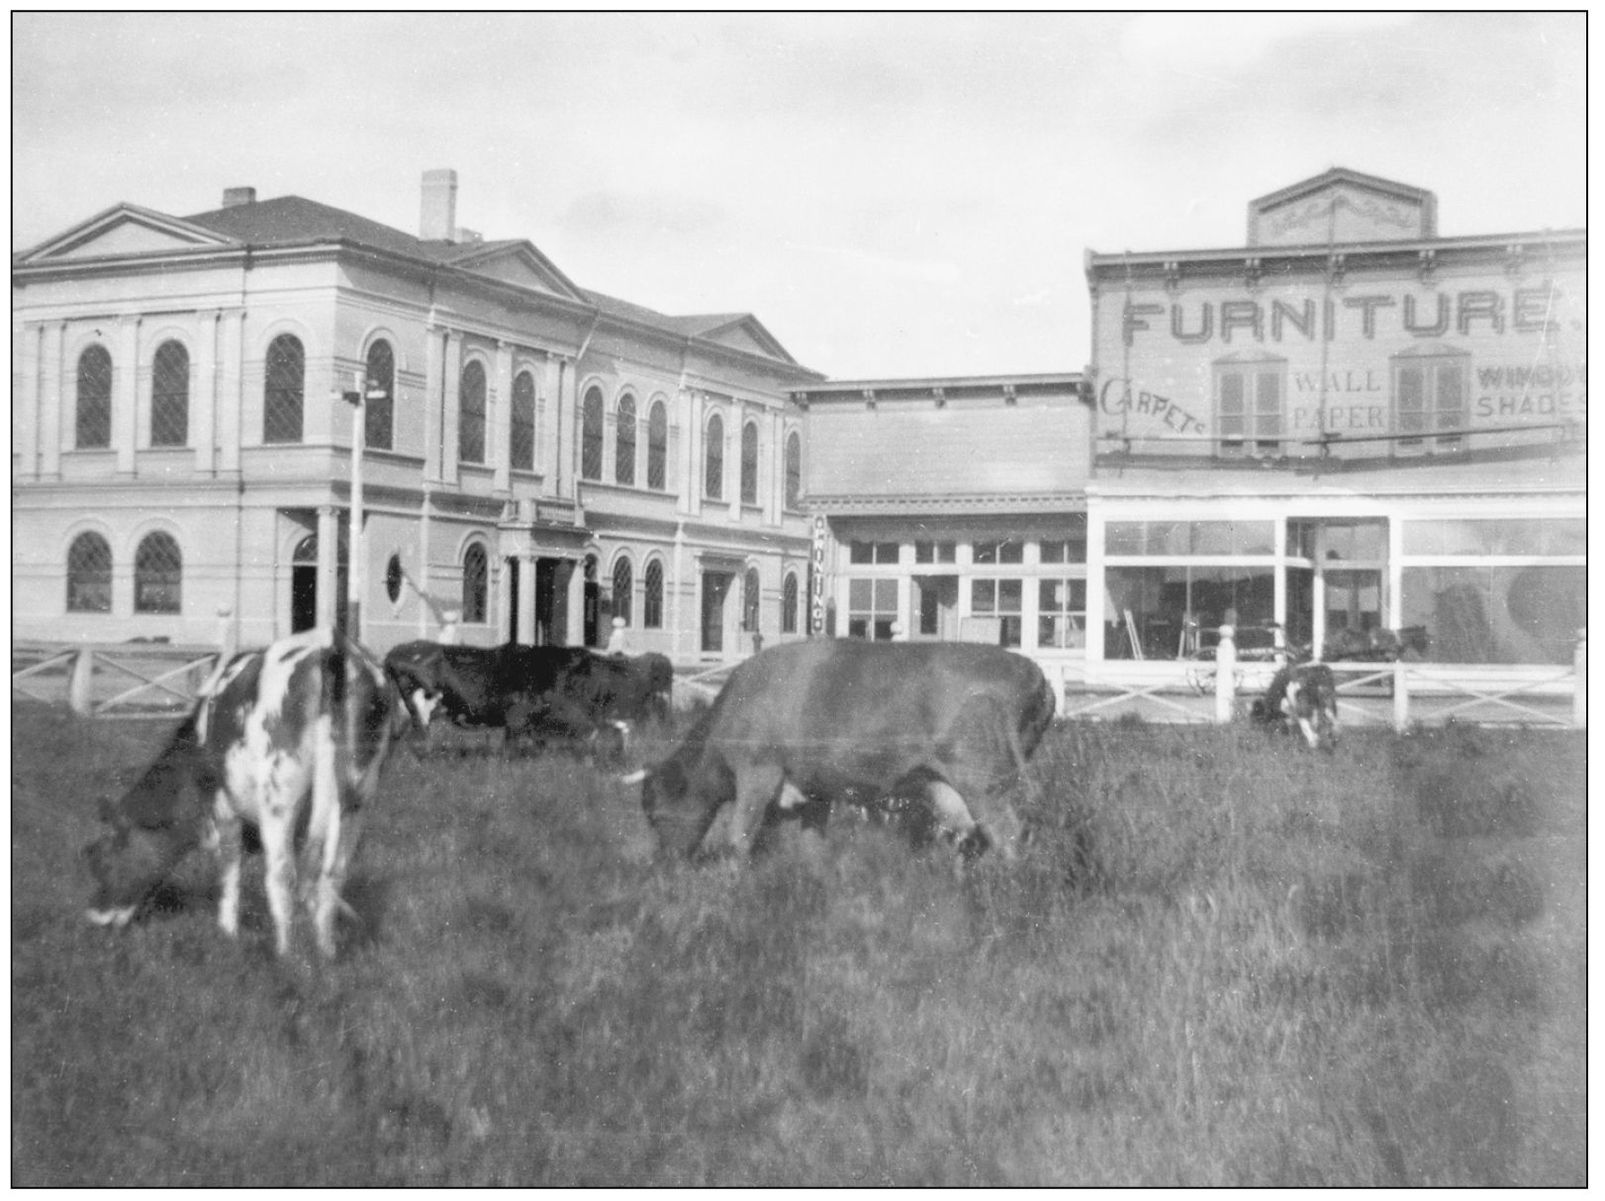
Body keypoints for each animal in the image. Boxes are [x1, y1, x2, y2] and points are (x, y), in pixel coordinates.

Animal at [622, 642, 1052, 867]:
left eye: (653, 809)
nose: (664, 861)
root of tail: (1034, 673)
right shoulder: (814, 790)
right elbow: (811, 843)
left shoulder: (758, 775)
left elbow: (739, 838)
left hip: (987, 788)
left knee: (1011, 838)